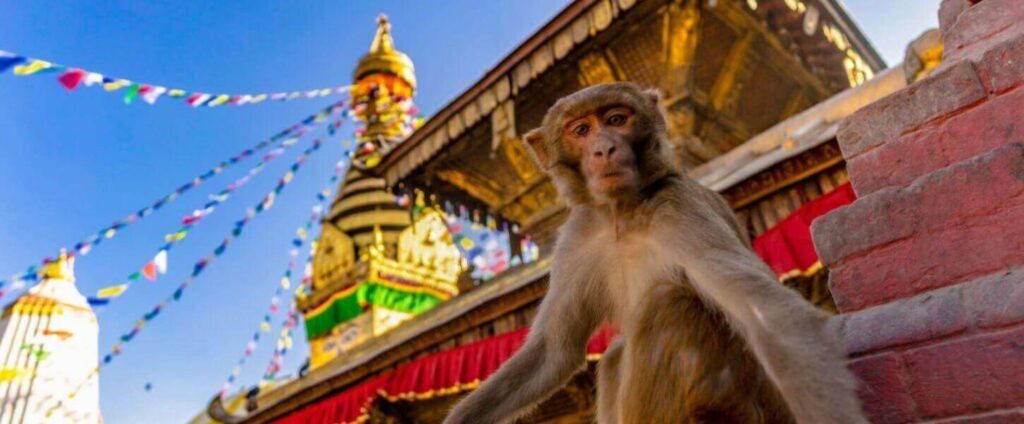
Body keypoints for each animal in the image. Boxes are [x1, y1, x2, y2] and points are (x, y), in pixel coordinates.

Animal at [442, 82, 866, 424]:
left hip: (740, 402)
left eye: (616, 119)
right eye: (581, 130)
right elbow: (553, 352)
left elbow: (769, 319)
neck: (622, 214)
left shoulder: (678, 208)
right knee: (616, 354)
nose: (604, 148)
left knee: (668, 304)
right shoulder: (577, 236)